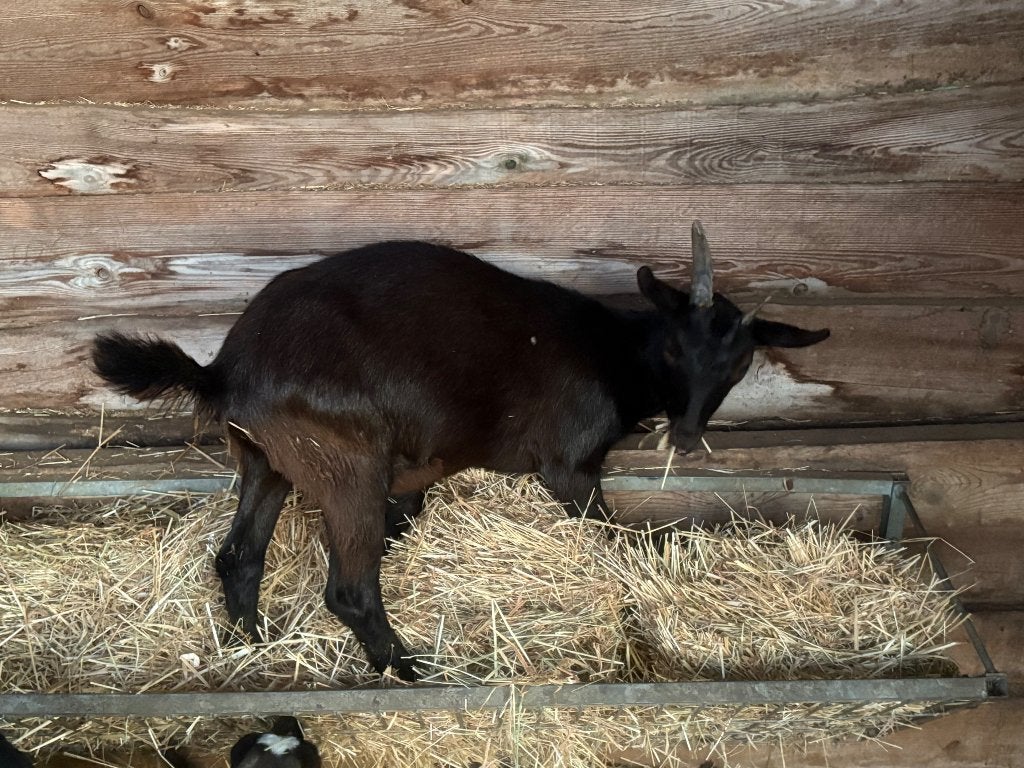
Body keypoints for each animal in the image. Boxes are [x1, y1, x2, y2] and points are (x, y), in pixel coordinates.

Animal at [92, 222, 829, 681]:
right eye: (676, 345)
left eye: (741, 363)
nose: (688, 435)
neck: (611, 354)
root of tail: (225, 370)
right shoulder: (570, 467)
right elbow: (611, 538)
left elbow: (408, 512)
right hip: (346, 464)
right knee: (349, 589)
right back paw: (406, 667)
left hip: (267, 458)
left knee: (239, 556)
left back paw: (257, 645)